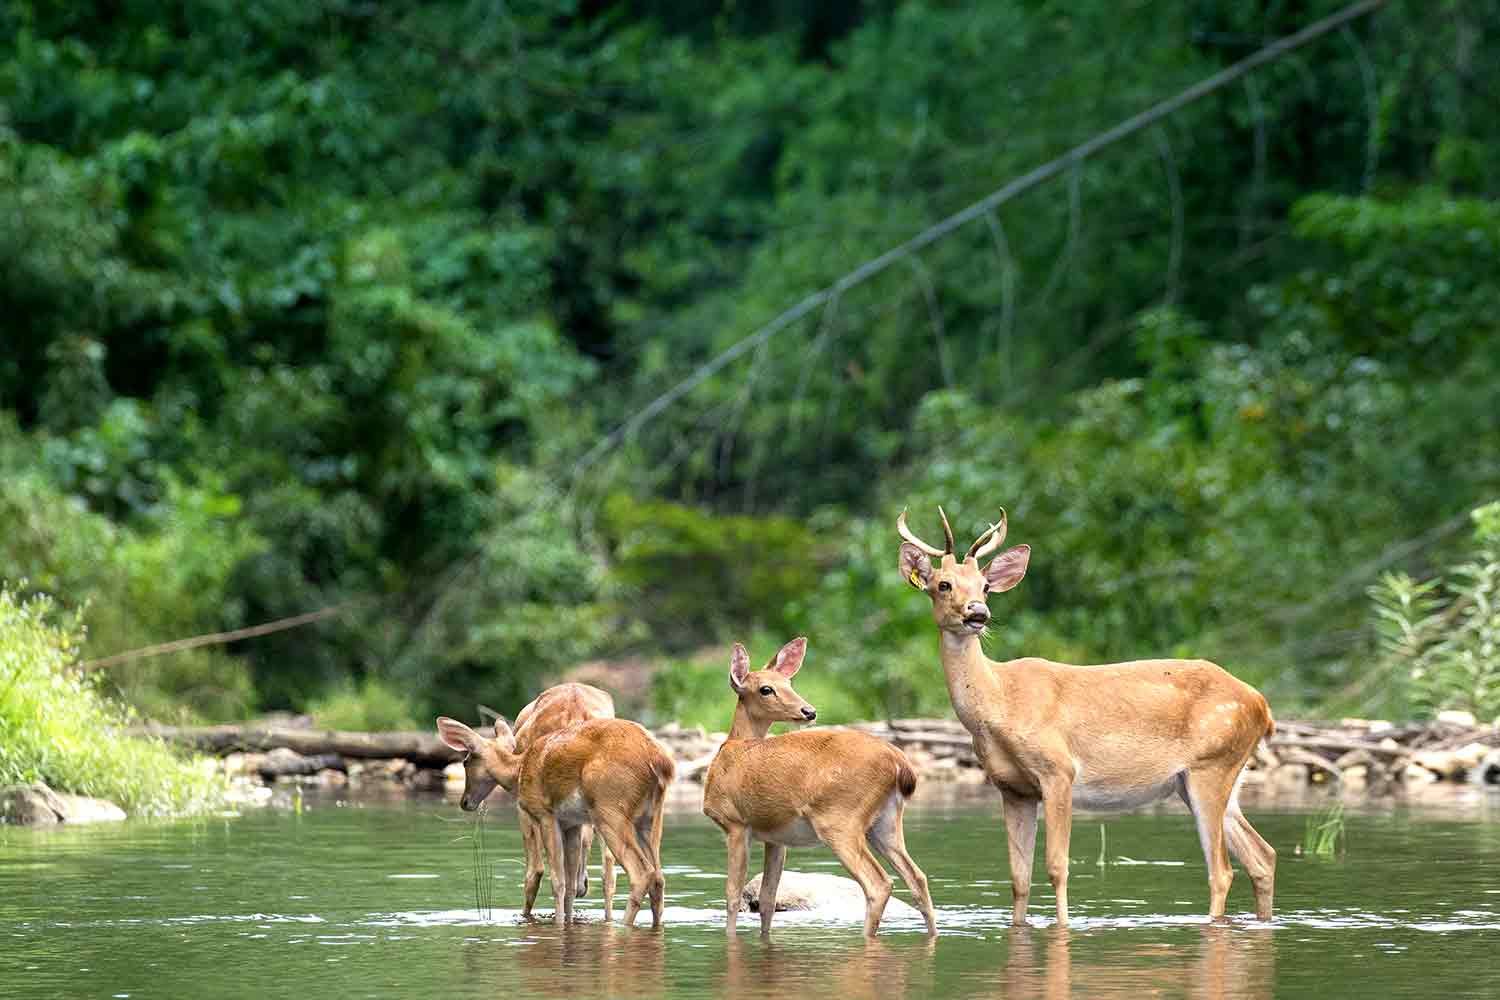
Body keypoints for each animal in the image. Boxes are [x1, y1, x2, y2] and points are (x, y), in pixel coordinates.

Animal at [432, 716, 672, 929]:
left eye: (465, 762)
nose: (465, 802)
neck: (519, 770)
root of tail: (662, 761)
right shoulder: (572, 823)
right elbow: (571, 886)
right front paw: (567, 923)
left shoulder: (545, 814)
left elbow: (558, 881)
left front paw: (557, 925)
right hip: (650, 817)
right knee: (658, 877)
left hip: (609, 808)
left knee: (642, 873)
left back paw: (623, 926)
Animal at [702, 641, 936, 941]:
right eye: (766, 688)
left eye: (789, 683)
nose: (809, 711)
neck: (732, 749)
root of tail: (899, 762)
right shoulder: (775, 837)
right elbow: (767, 899)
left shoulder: (735, 823)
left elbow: (732, 895)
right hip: (886, 821)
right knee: (917, 877)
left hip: (840, 819)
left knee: (878, 883)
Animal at [894, 512, 1284, 929]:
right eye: (943, 584)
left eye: (985, 586)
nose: (977, 613)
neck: (1000, 703)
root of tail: (1262, 706)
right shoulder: (1013, 788)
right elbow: (1018, 877)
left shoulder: (1058, 771)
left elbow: (1057, 866)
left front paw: (1063, 927)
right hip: (1208, 778)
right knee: (1262, 856)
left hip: (1211, 767)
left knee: (1222, 870)